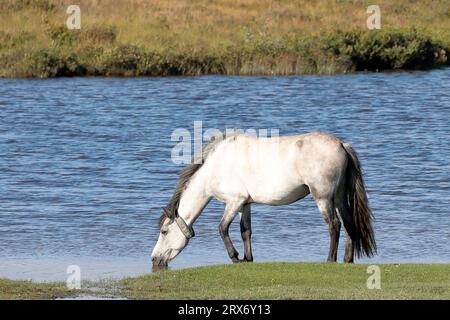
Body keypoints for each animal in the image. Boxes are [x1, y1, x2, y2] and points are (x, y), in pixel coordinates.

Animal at [152, 131, 376, 268]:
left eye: (164, 232)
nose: (154, 259)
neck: (215, 168)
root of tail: (342, 145)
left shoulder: (233, 202)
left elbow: (222, 228)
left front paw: (235, 258)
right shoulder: (245, 204)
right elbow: (245, 231)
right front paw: (247, 258)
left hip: (323, 197)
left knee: (334, 225)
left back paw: (330, 260)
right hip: (339, 198)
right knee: (349, 224)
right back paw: (347, 260)